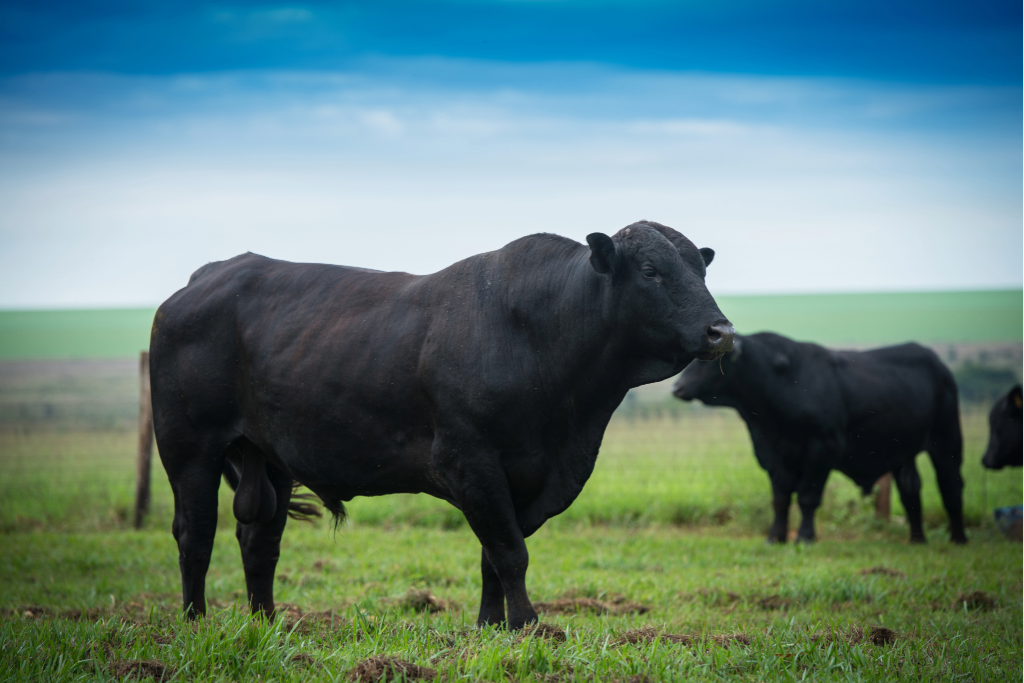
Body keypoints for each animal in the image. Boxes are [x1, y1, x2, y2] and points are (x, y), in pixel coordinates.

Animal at [150, 220, 734, 630]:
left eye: (701, 271)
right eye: (652, 271)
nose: (721, 332)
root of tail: (210, 274)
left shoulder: (527, 477)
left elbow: (492, 558)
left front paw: (491, 627)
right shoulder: (469, 460)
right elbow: (509, 553)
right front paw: (530, 626)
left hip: (268, 455)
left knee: (259, 538)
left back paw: (267, 624)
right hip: (188, 448)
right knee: (195, 533)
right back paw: (196, 623)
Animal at [672, 332, 967, 545]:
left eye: (708, 361)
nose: (677, 387)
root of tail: (935, 361)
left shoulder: (821, 450)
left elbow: (807, 497)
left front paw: (805, 537)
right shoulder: (772, 454)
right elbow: (780, 498)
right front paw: (775, 537)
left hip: (947, 441)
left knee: (951, 486)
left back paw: (958, 538)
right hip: (902, 451)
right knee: (910, 491)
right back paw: (917, 539)